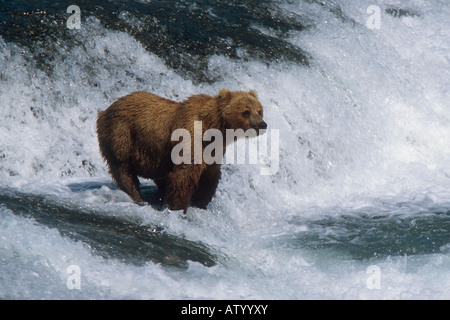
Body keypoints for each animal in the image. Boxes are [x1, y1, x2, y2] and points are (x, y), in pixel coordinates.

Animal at [96, 89, 266, 212]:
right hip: (122, 133)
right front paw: (178, 207)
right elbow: (183, 175)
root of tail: (105, 110)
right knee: (123, 168)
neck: (214, 129)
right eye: (246, 111)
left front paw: (200, 202)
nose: (262, 124)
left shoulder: (214, 150)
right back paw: (137, 196)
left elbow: (209, 177)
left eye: (259, 110)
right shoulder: (191, 139)